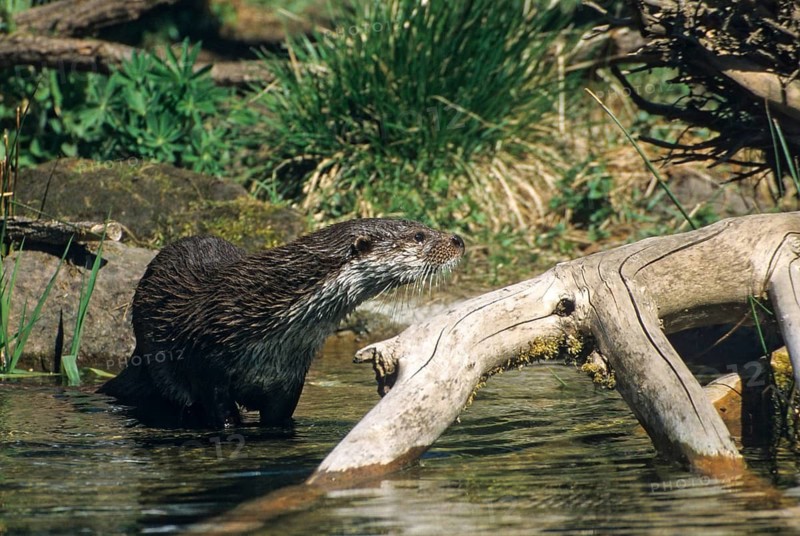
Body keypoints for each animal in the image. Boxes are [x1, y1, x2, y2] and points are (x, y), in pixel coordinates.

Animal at [98, 218, 465, 428]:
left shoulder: (289, 378)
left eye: (425, 225)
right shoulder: (207, 370)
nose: (458, 240)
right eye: (418, 236)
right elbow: (222, 415)